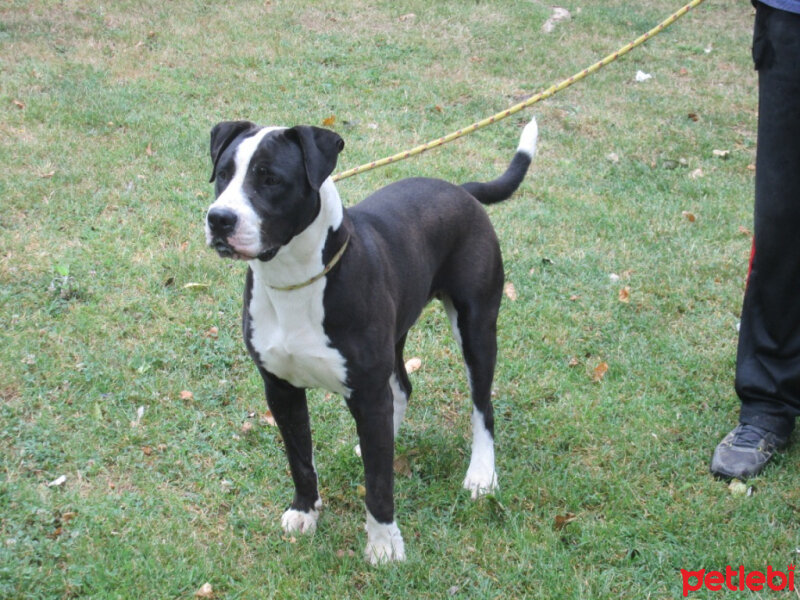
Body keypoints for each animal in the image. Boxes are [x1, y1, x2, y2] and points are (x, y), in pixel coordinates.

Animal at [205, 118, 536, 564]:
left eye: (270, 178)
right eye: (223, 174)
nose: (219, 219)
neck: (295, 280)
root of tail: (461, 189)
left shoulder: (366, 392)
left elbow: (379, 484)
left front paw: (384, 545)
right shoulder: (281, 389)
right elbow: (300, 459)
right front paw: (304, 511)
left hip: (477, 328)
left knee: (482, 406)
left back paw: (481, 473)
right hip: (396, 337)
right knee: (402, 388)